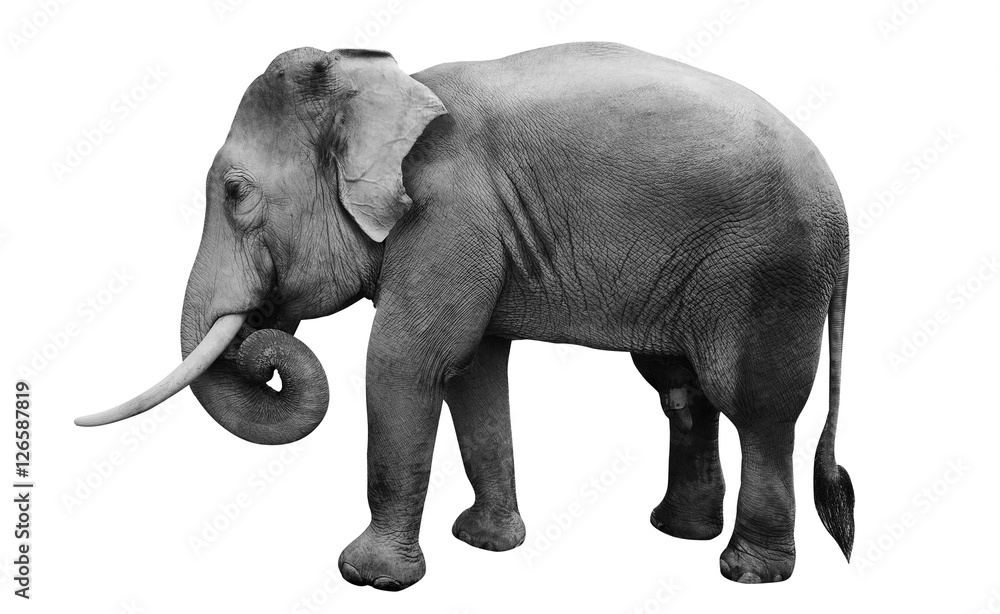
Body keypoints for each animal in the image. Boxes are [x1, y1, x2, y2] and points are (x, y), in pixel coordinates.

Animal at [77, 41, 855, 589]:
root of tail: (841, 210)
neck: (388, 91)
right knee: (680, 389)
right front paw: (486, 544)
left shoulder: (448, 216)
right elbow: (474, 371)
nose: (259, 345)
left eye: (236, 193)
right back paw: (678, 533)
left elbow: (405, 363)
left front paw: (368, 579)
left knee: (754, 405)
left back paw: (747, 573)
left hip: (769, 271)